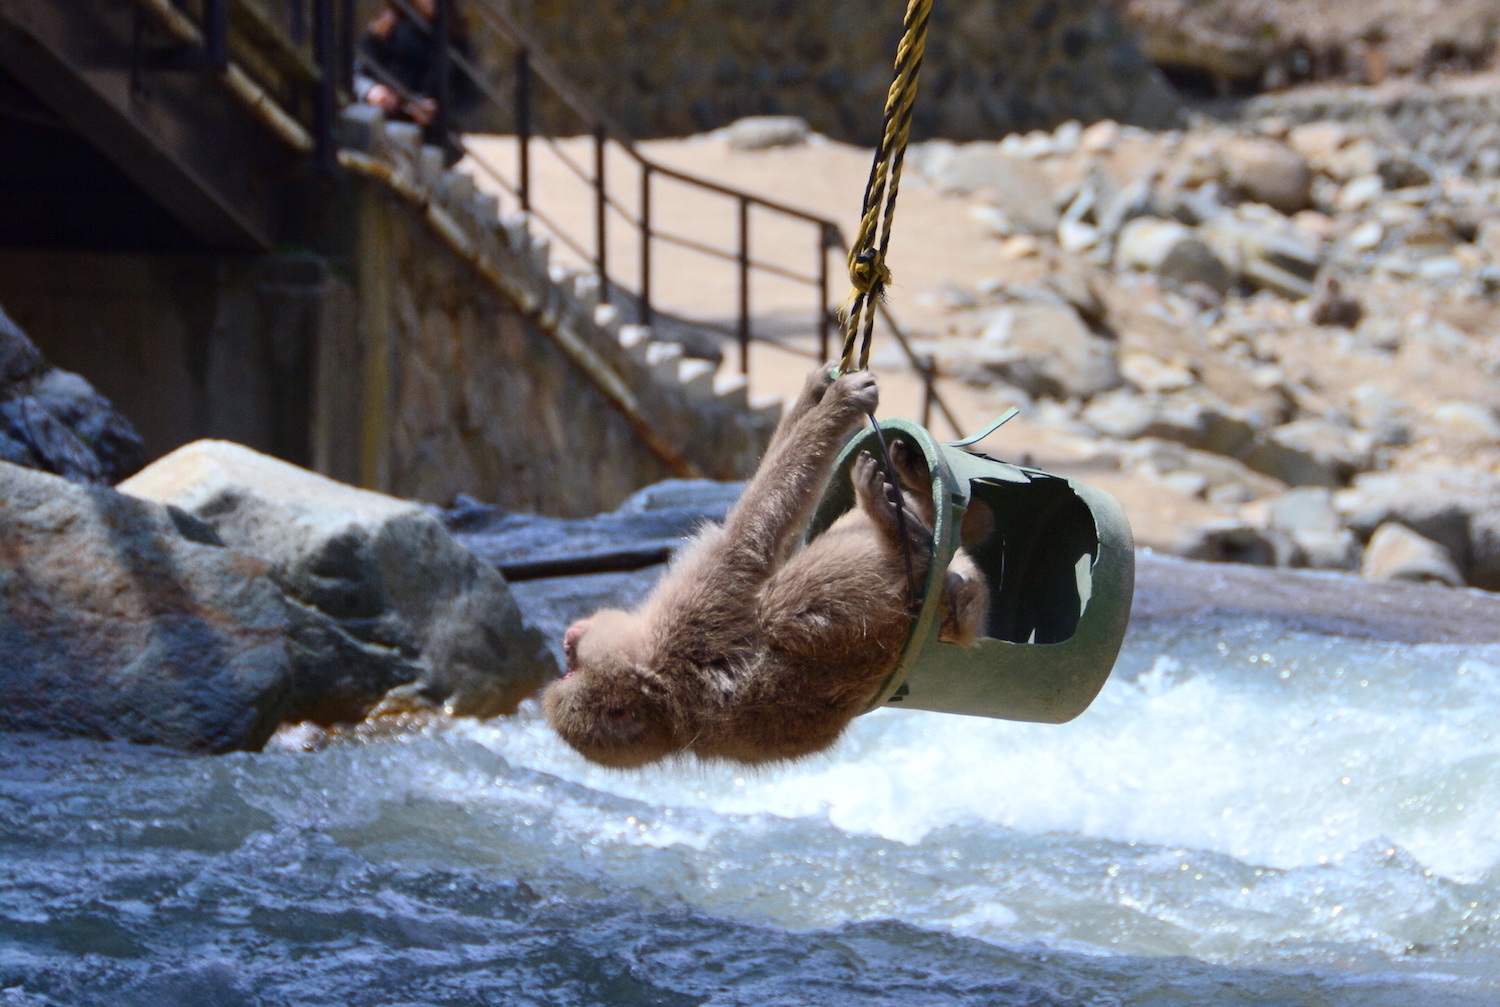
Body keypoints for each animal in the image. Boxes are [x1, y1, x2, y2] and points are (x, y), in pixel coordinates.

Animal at [546, 366, 990, 768]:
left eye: (570, 662)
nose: (568, 638)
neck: (663, 699)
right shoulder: (692, 611)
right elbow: (751, 537)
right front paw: (838, 404)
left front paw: (815, 395)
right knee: (792, 604)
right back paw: (906, 535)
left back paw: (916, 480)